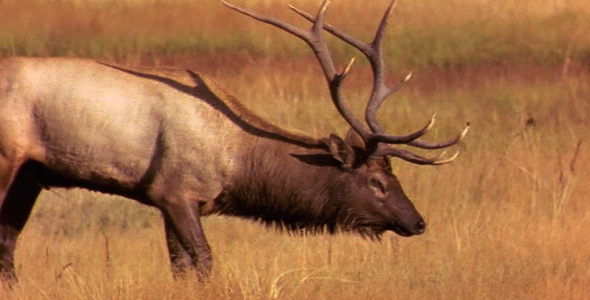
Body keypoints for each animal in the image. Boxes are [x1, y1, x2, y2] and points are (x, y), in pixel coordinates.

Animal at [1, 0, 472, 282]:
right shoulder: (174, 191)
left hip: (30, 175)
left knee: (8, 240)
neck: (237, 163)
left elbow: (180, 267)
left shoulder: (172, 199)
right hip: (7, 159)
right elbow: (204, 261)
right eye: (376, 182)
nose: (418, 222)